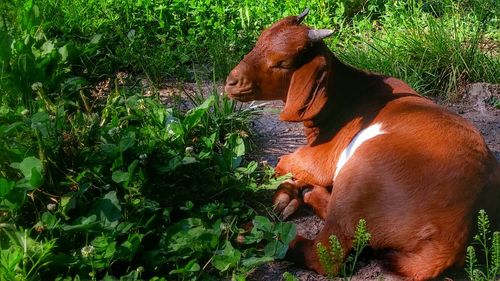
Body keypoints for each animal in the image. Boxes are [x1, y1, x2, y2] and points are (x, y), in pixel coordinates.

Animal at [225, 9, 498, 280]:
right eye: (258, 43)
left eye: (283, 63)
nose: (231, 81)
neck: (345, 96)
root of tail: (452, 238)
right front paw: (289, 194)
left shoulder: (321, 159)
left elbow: (283, 162)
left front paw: (285, 193)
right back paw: (309, 194)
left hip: (359, 176)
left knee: (326, 252)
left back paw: (249, 231)